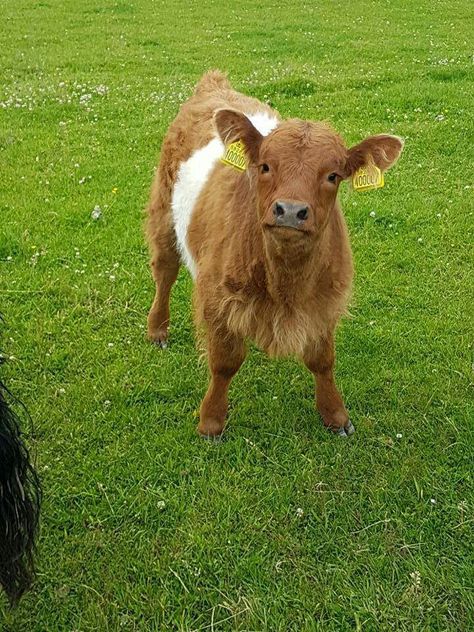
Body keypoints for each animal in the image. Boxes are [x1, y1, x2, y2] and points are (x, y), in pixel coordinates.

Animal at [145, 68, 404, 434]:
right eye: (265, 166)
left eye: (333, 175)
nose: (291, 211)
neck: (285, 283)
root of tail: (214, 86)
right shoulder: (217, 297)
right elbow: (224, 362)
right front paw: (211, 420)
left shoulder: (327, 300)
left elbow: (323, 360)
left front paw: (336, 415)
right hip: (164, 212)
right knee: (165, 271)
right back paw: (158, 329)